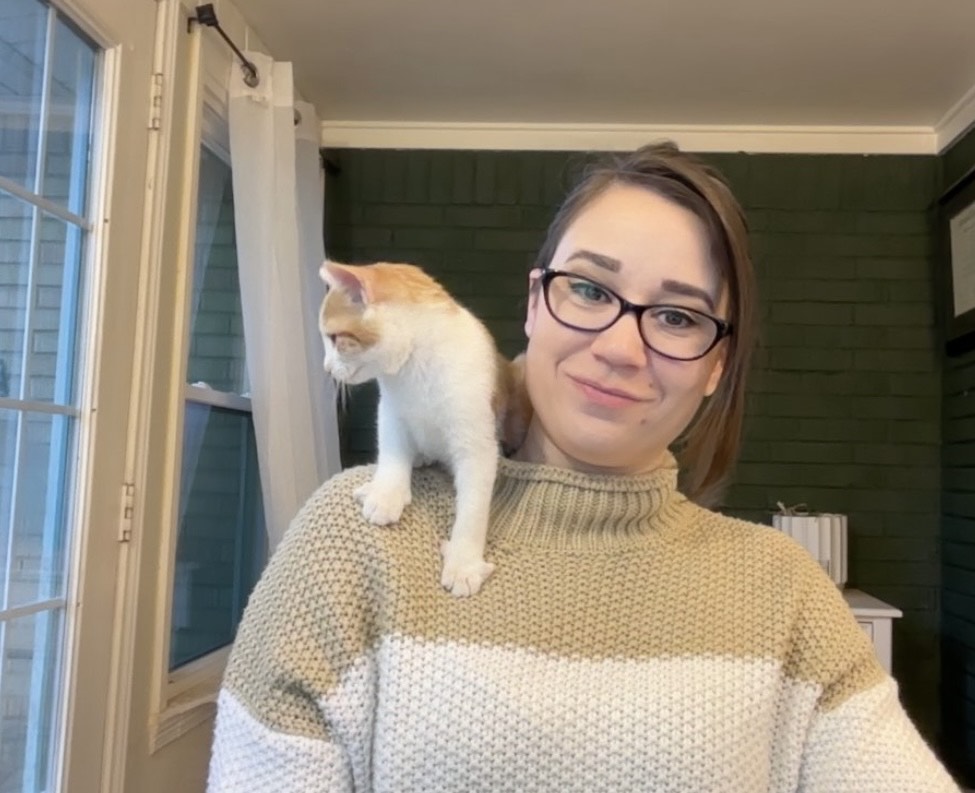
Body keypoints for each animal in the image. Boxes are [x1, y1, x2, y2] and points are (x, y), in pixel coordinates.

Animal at [320, 260, 528, 592]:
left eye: (334, 339)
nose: (327, 368)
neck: (414, 368)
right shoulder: (390, 411)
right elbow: (391, 452)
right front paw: (386, 493)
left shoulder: (476, 443)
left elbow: (473, 505)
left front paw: (464, 561)